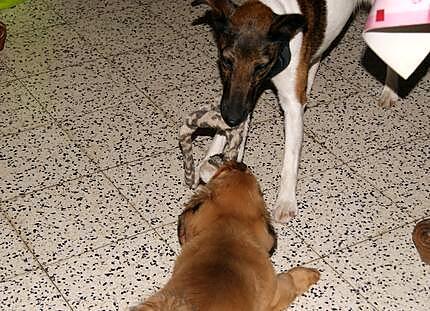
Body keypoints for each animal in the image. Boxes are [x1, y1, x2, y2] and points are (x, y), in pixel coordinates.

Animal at [134, 162, 320, 310]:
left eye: (226, 171)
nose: (240, 164)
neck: (227, 231)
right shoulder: (275, 293)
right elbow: (290, 278)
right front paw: (309, 273)